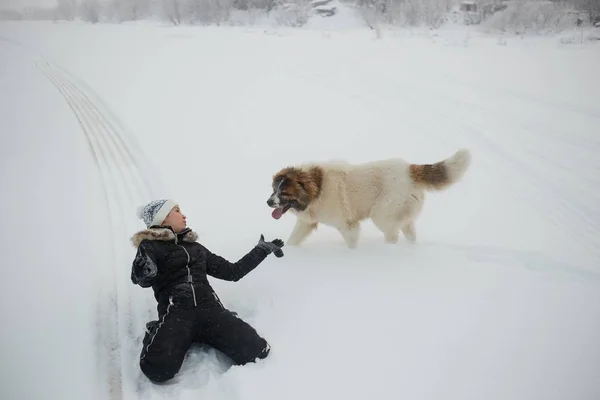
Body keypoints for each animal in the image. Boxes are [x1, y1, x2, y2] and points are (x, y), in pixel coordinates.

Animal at [266, 149, 468, 248]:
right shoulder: (306, 222)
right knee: (409, 233)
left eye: (284, 193)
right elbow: (293, 239)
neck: (316, 188)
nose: (268, 202)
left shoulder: (348, 225)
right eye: (274, 189)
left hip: (382, 214)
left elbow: (351, 243)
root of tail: (409, 169)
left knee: (392, 234)